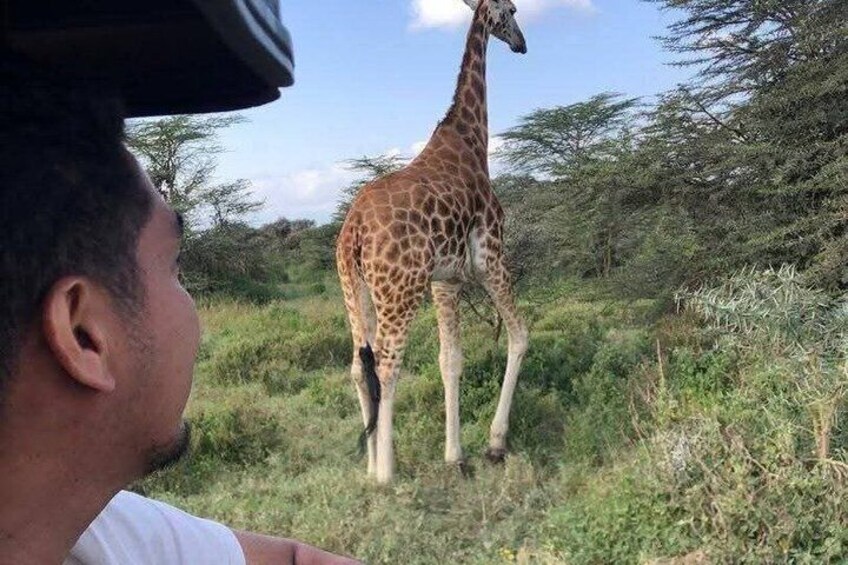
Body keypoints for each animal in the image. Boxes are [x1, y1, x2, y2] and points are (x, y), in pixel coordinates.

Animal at [336, 0, 528, 484]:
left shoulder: (446, 280)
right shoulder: (491, 256)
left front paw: (454, 455)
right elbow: (519, 336)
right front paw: (494, 444)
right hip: (400, 291)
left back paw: (370, 464)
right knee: (387, 364)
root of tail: (353, 232)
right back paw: (386, 473)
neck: (472, 139)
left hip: (354, 291)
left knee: (358, 366)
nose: (521, 44)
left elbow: (450, 359)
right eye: (513, 10)